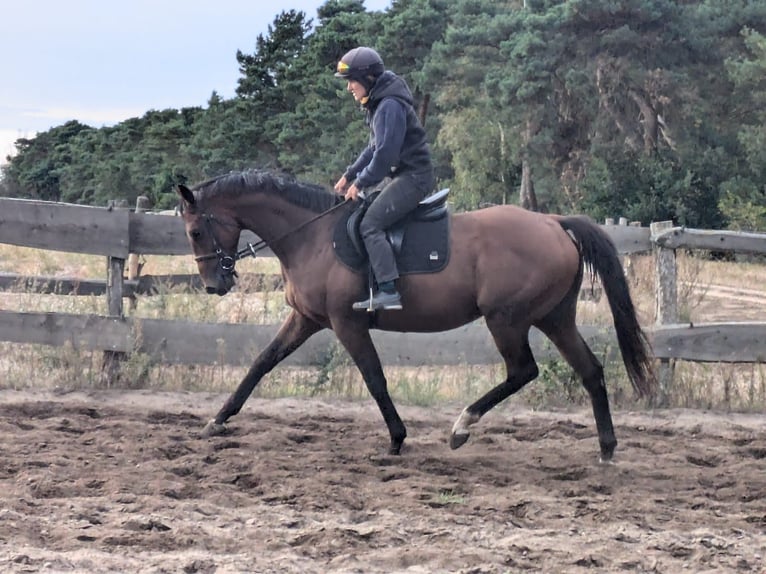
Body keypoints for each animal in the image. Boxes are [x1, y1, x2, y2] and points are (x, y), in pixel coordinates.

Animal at [177, 171, 656, 464]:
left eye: (196, 230)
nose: (214, 285)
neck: (312, 236)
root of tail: (554, 223)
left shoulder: (347, 323)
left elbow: (374, 378)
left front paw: (396, 438)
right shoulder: (306, 319)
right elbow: (261, 364)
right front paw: (218, 420)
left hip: (506, 319)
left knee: (523, 370)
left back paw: (462, 427)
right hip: (554, 318)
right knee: (590, 371)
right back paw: (606, 449)